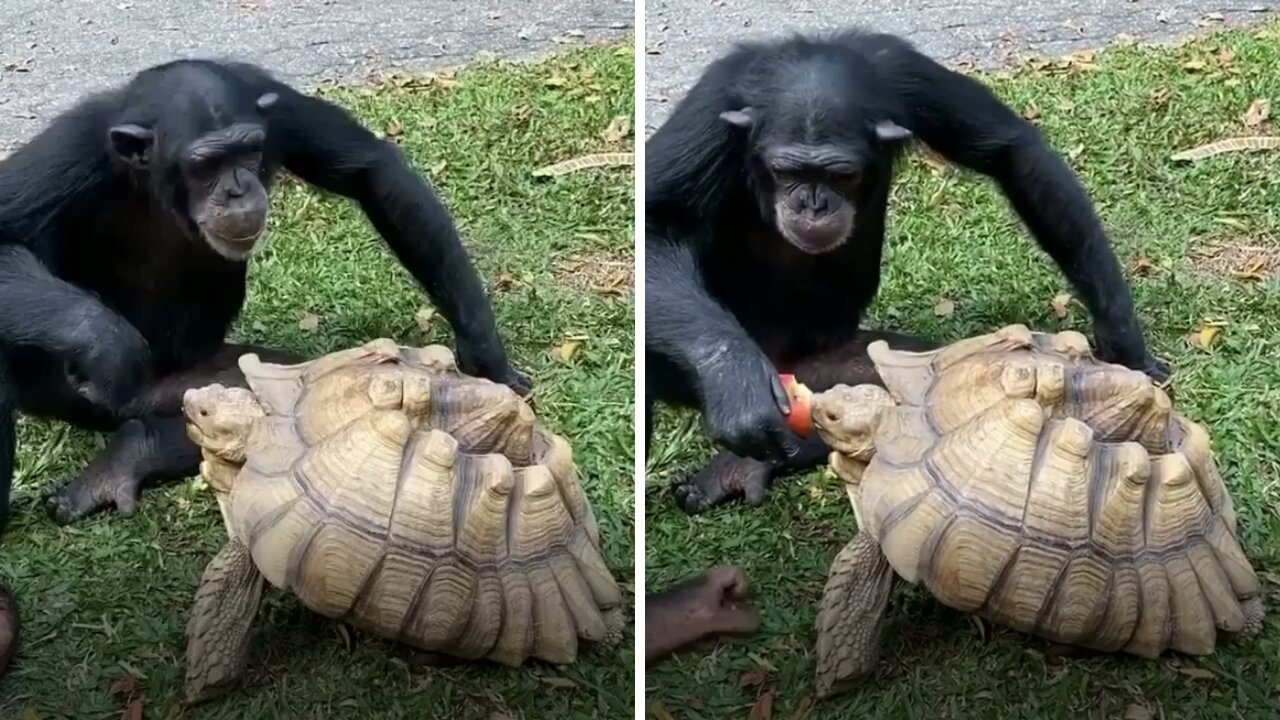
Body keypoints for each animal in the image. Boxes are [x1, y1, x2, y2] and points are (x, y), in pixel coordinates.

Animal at [0, 57, 529, 532]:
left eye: (248, 151)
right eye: (206, 164)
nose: (238, 188)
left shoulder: (273, 106)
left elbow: (369, 168)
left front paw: (486, 356)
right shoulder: (70, 150)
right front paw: (106, 343)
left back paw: (129, 458)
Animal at [650, 28, 1172, 509]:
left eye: (840, 175)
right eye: (786, 171)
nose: (812, 204)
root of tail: (786, 362)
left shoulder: (907, 72)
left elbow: (1011, 151)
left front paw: (1124, 342)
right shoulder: (714, 101)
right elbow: (662, 219)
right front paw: (735, 381)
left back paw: (755, 464)